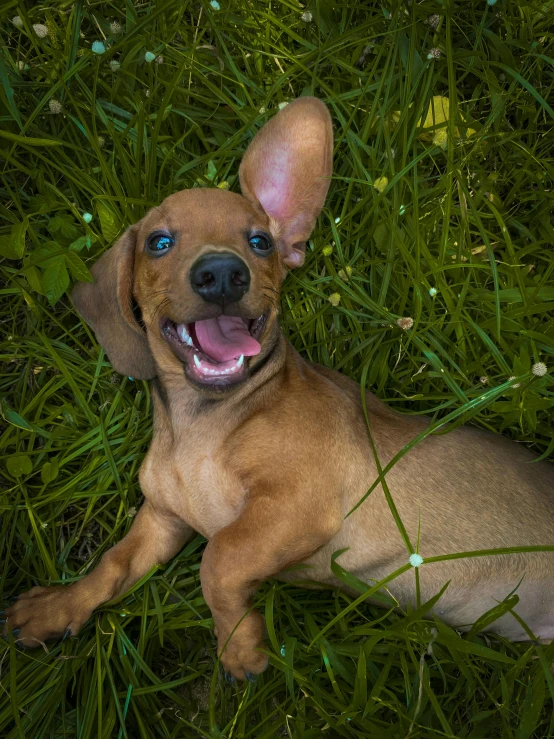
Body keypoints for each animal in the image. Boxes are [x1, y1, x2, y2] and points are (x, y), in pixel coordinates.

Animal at [2, 98, 548, 684]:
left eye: (259, 241)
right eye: (158, 242)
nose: (223, 273)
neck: (204, 424)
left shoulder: (293, 504)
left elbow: (218, 558)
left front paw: (239, 644)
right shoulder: (162, 521)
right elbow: (111, 565)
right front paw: (59, 607)